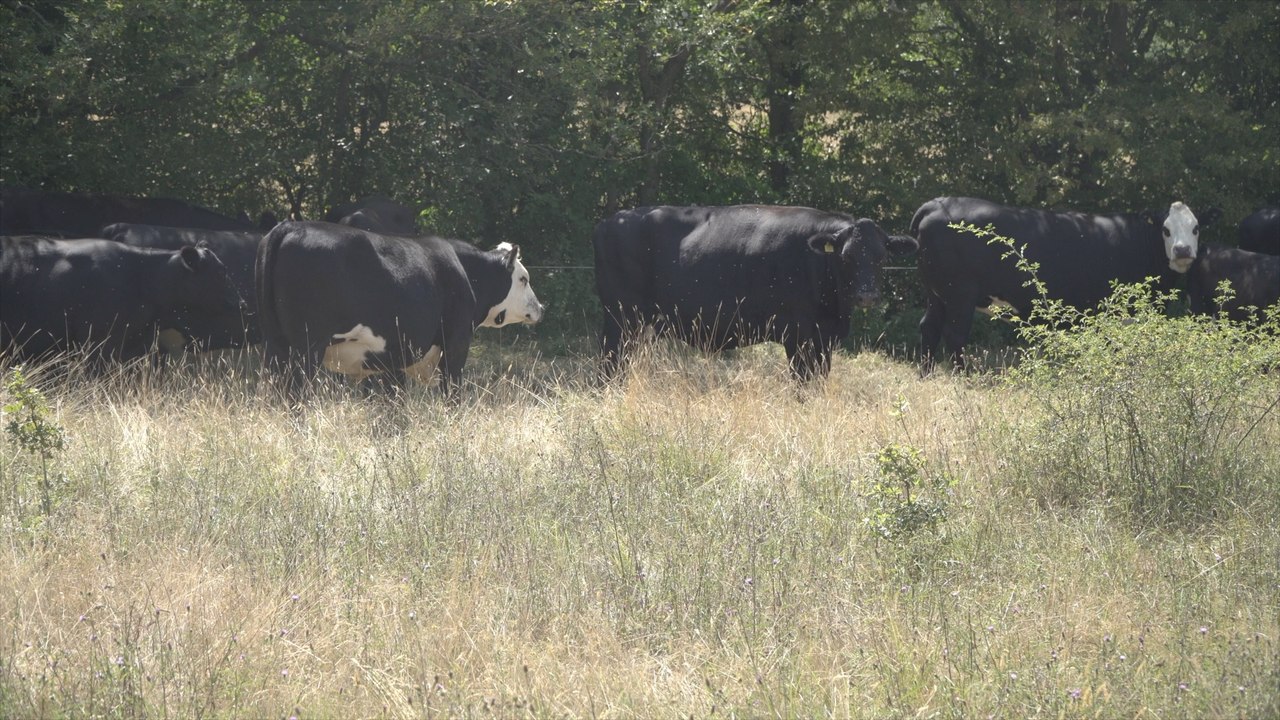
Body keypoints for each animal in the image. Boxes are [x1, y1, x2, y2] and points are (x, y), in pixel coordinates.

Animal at [256, 221, 543, 397]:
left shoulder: (394, 354)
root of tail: (291, 226)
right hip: (307, 348)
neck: (462, 269)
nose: (540, 307)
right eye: (523, 279)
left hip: (276, 346)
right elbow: (452, 393)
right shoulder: (456, 342)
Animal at [592, 205, 918, 381]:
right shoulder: (798, 335)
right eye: (846, 257)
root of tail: (610, 221)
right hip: (620, 318)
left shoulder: (824, 338)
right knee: (610, 364)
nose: (867, 295)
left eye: (881, 257)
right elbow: (803, 381)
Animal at [911, 196, 1221, 371]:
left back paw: (927, 374)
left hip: (936, 294)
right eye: (1166, 230)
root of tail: (937, 203)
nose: (1182, 250)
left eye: (1195, 228)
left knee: (929, 328)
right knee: (954, 335)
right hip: (959, 295)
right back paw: (963, 376)